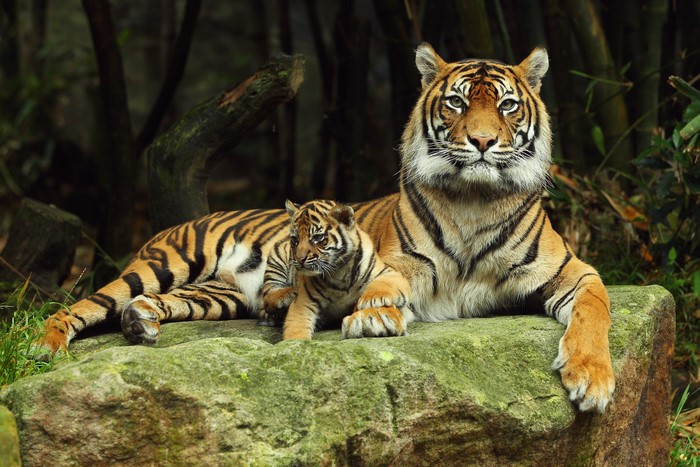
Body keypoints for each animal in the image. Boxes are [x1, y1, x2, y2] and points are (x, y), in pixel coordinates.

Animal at [266, 199, 411, 340]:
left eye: (317, 237)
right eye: (295, 239)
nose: (300, 259)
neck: (340, 271)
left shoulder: (390, 272)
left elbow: (383, 283)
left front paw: (371, 299)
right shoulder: (304, 301)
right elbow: (296, 327)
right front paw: (296, 343)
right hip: (277, 259)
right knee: (267, 294)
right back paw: (288, 294)